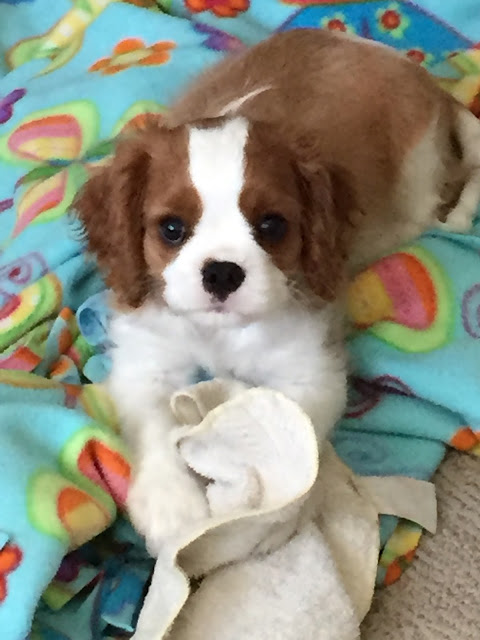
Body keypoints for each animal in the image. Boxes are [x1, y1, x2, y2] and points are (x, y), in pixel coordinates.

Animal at [75, 29, 480, 554]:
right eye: (171, 228)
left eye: (272, 225)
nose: (221, 273)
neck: (219, 332)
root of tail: (422, 78)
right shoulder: (147, 358)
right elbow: (153, 422)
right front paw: (172, 506)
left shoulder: (309, 373)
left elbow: (295, 443)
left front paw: (256, 521)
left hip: (418, 180)